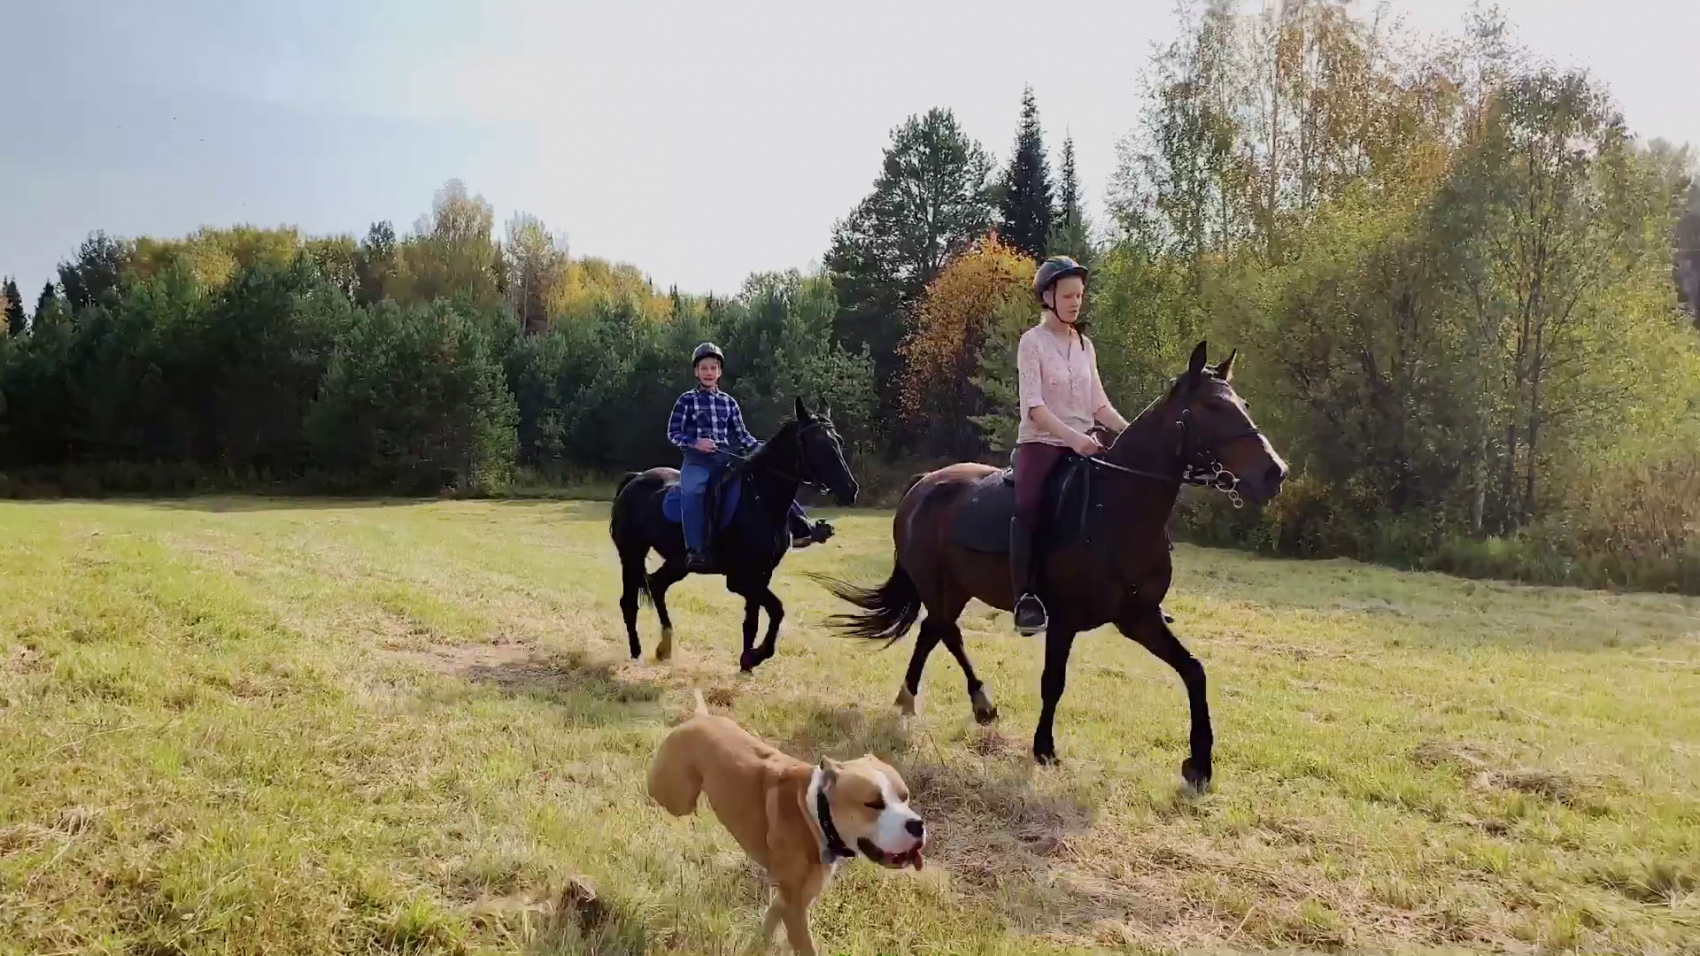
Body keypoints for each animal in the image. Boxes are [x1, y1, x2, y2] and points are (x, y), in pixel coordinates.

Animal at [608, 394, 856, 670]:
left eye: (839, 441)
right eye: (817, 443)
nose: (850, 489)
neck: (760, 500)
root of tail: (635, 479)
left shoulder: (762, 574)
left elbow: (755, 619)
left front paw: (748, 661)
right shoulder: (740, 579)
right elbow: (775, 609)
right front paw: (756, 656)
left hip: (678, 563)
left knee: (656, 585)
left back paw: (665, 647)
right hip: (632, 554)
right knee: (629, 603)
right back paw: (637, 652)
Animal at [646, 687, 931, 945]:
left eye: (905, 796)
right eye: (872, 804)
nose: (917, 825)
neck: (815, 813)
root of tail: (699, 718)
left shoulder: (791, 899)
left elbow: (766, 931)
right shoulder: (795, 909)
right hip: (677, 797)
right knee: (655, 789)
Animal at [809, 341, 1285, 789]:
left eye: (1243, 404)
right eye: (1212, 407)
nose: (1275, 473)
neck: (1117, 510)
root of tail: (923, 484)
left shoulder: (1139, 616)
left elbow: (1194, 671)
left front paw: (1199, 765)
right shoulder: (1064, 619)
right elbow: (1053, 681)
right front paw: (1043, 749)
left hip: (957, 588)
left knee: (932, 632)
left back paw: (926, 701)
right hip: (937, 585)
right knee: (945, 631)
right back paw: (973, 702)